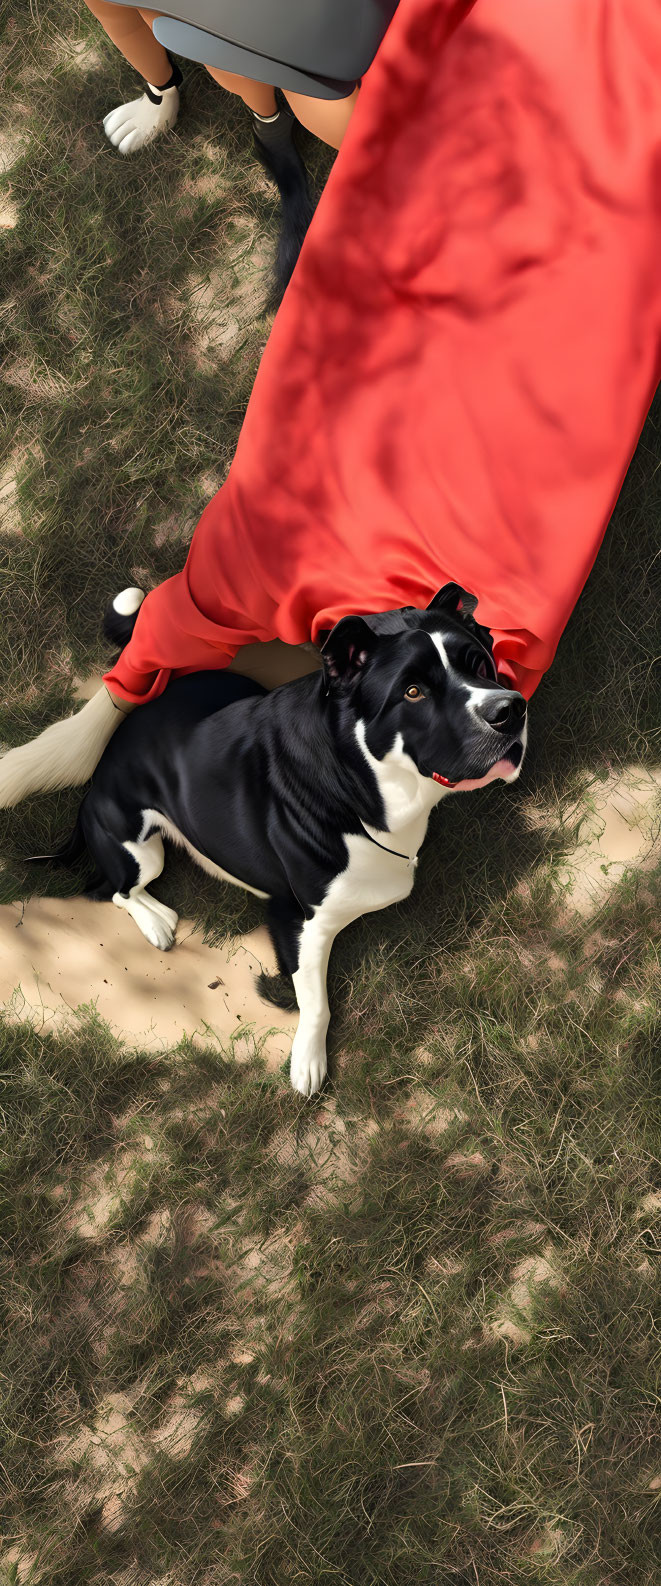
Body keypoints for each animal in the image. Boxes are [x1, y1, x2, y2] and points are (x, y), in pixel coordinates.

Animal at [45, 583, 526, 1091]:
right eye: (413, 692)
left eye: (481, 665)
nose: (510, 709)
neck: (356, 783)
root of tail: (101, 764)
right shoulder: (294, 920)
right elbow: (315, 1002)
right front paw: (307, 1063)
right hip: (139, 848)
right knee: (112, 889)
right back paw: (156, 921)